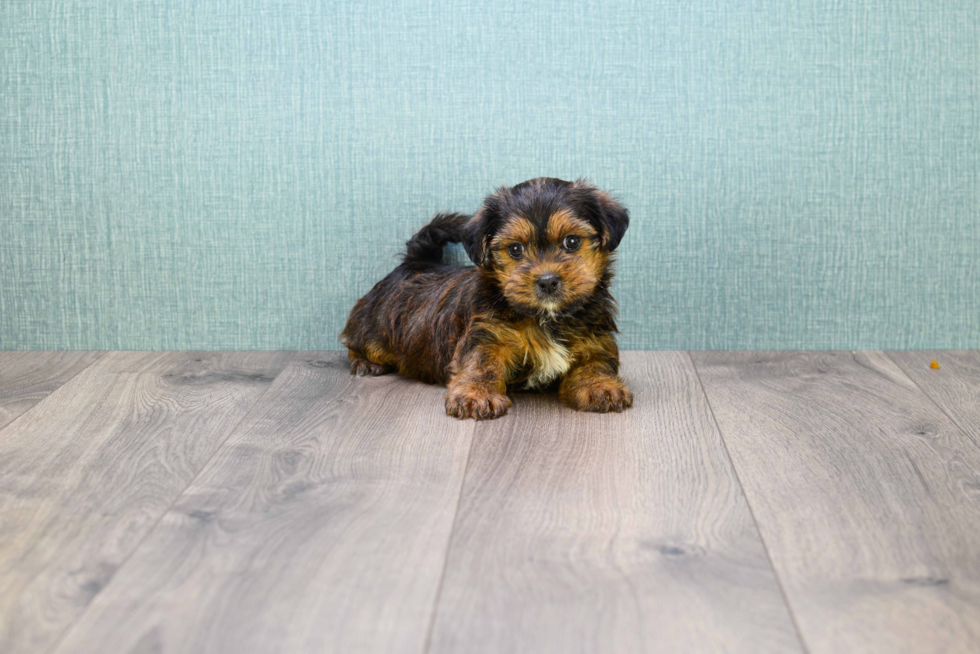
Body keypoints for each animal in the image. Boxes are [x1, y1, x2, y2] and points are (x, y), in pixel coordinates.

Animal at [340, 178, 632, 420]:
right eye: (515, 249)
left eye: (571, 242)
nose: (547, 281)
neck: (545, 318)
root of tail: (416, 262)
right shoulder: (485, 334)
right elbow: (481, 362)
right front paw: (476, 395)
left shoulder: (594, 335)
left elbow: (596, 362)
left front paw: (600, 386)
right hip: (375, 326)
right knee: (354, 340)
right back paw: (365, 362)